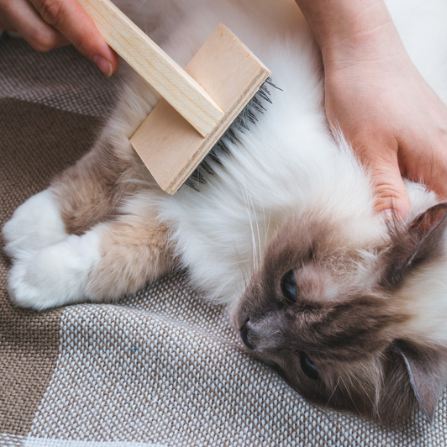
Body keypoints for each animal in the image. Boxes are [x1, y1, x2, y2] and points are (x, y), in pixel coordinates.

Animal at [2, 0, 447, 426]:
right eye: (290, 286)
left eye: (308, 366)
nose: (249, 333)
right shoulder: (161, 116)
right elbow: (94, 183)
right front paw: (24, 232)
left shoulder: (186, 217)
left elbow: (112, 262)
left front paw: (29, 279)